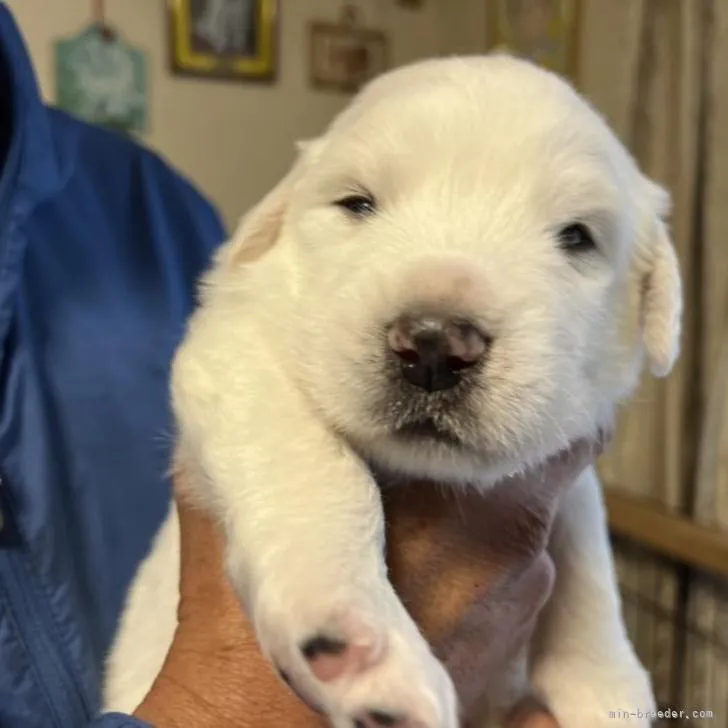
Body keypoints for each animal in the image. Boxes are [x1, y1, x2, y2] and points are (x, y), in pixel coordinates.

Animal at [104, 57, 684, 728]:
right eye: (357, 204)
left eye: (577, 238)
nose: (434, 346)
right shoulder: (231, 350)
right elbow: (316, 469)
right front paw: (359, 641)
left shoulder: (569, 446)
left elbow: (585, 542)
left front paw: (603, 678)